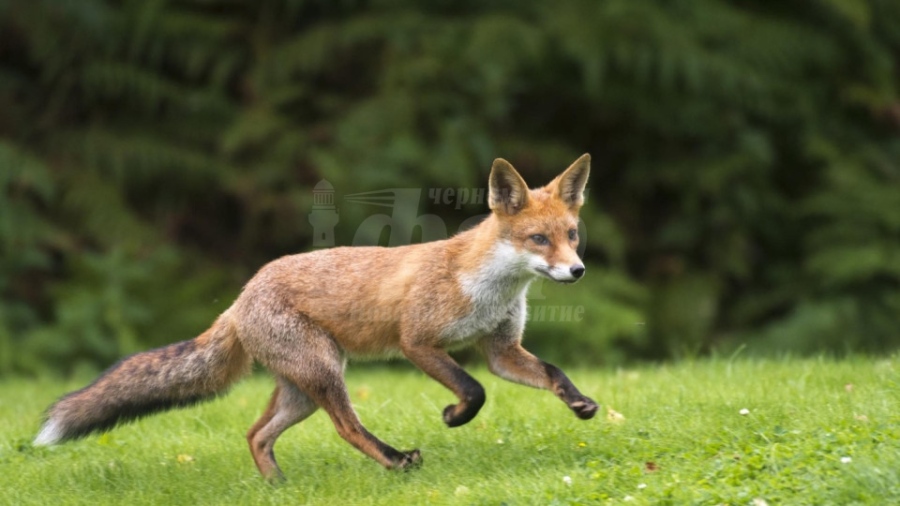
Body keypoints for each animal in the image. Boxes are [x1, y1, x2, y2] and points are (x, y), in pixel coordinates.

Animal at [35, 155, 596, 482]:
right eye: (538, 240)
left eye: (572, 235)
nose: (577, 271)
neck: (487, 286)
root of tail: (239, 298)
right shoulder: (417, 342)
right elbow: (474, 390)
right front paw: (454, 416)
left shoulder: (501, 350)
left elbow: (550, 373)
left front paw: (580, 403)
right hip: (326, 374)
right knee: (346, 428)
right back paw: (394, 461)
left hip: (302, 390)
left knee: (256, 434)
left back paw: (278, 488)